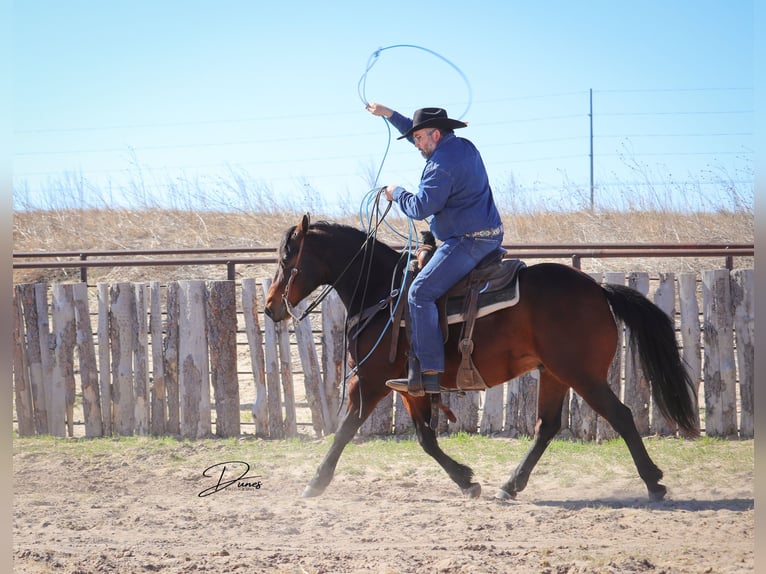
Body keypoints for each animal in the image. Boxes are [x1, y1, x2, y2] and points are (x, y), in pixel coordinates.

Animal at [264, 214, 699, 501]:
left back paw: (654, 482)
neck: (383, 293)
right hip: (555, 373)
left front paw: (315, 483)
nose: (270, 308)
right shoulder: (409, 387)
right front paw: (467, 480)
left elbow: (345, 430)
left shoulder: (370, 381)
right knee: (547, 426)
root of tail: (599, 289)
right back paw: (510, 485)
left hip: (583, 375)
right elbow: (425, 438)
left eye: (286, 259)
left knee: (620, 415)